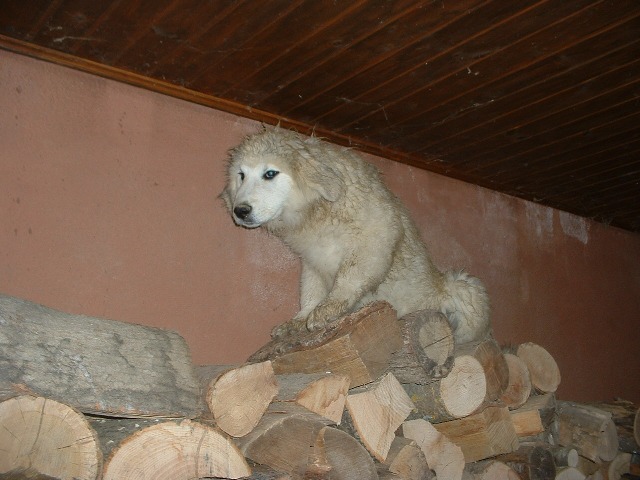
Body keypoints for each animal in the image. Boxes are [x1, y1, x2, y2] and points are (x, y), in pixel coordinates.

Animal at [220, 127, 490, 344]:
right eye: (241, 175)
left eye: (270, 173)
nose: (240, 211)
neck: (316, 212)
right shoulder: (312, 261)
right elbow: (310, 291)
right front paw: (299, 319)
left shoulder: (375, 236)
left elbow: (349, 277)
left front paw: (327, 310)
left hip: (465, 290)